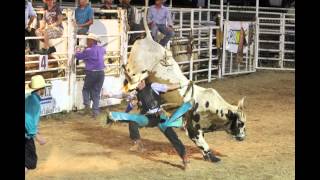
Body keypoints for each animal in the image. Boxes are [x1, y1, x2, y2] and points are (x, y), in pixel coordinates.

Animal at [122, 0, 248, 163]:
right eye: (240, 122)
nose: (243, 137)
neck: (211, 106)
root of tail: (149, 39)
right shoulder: (192, 128)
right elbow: (203, 144)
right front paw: (212, 157)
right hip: (136, 69)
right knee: (128, 75)